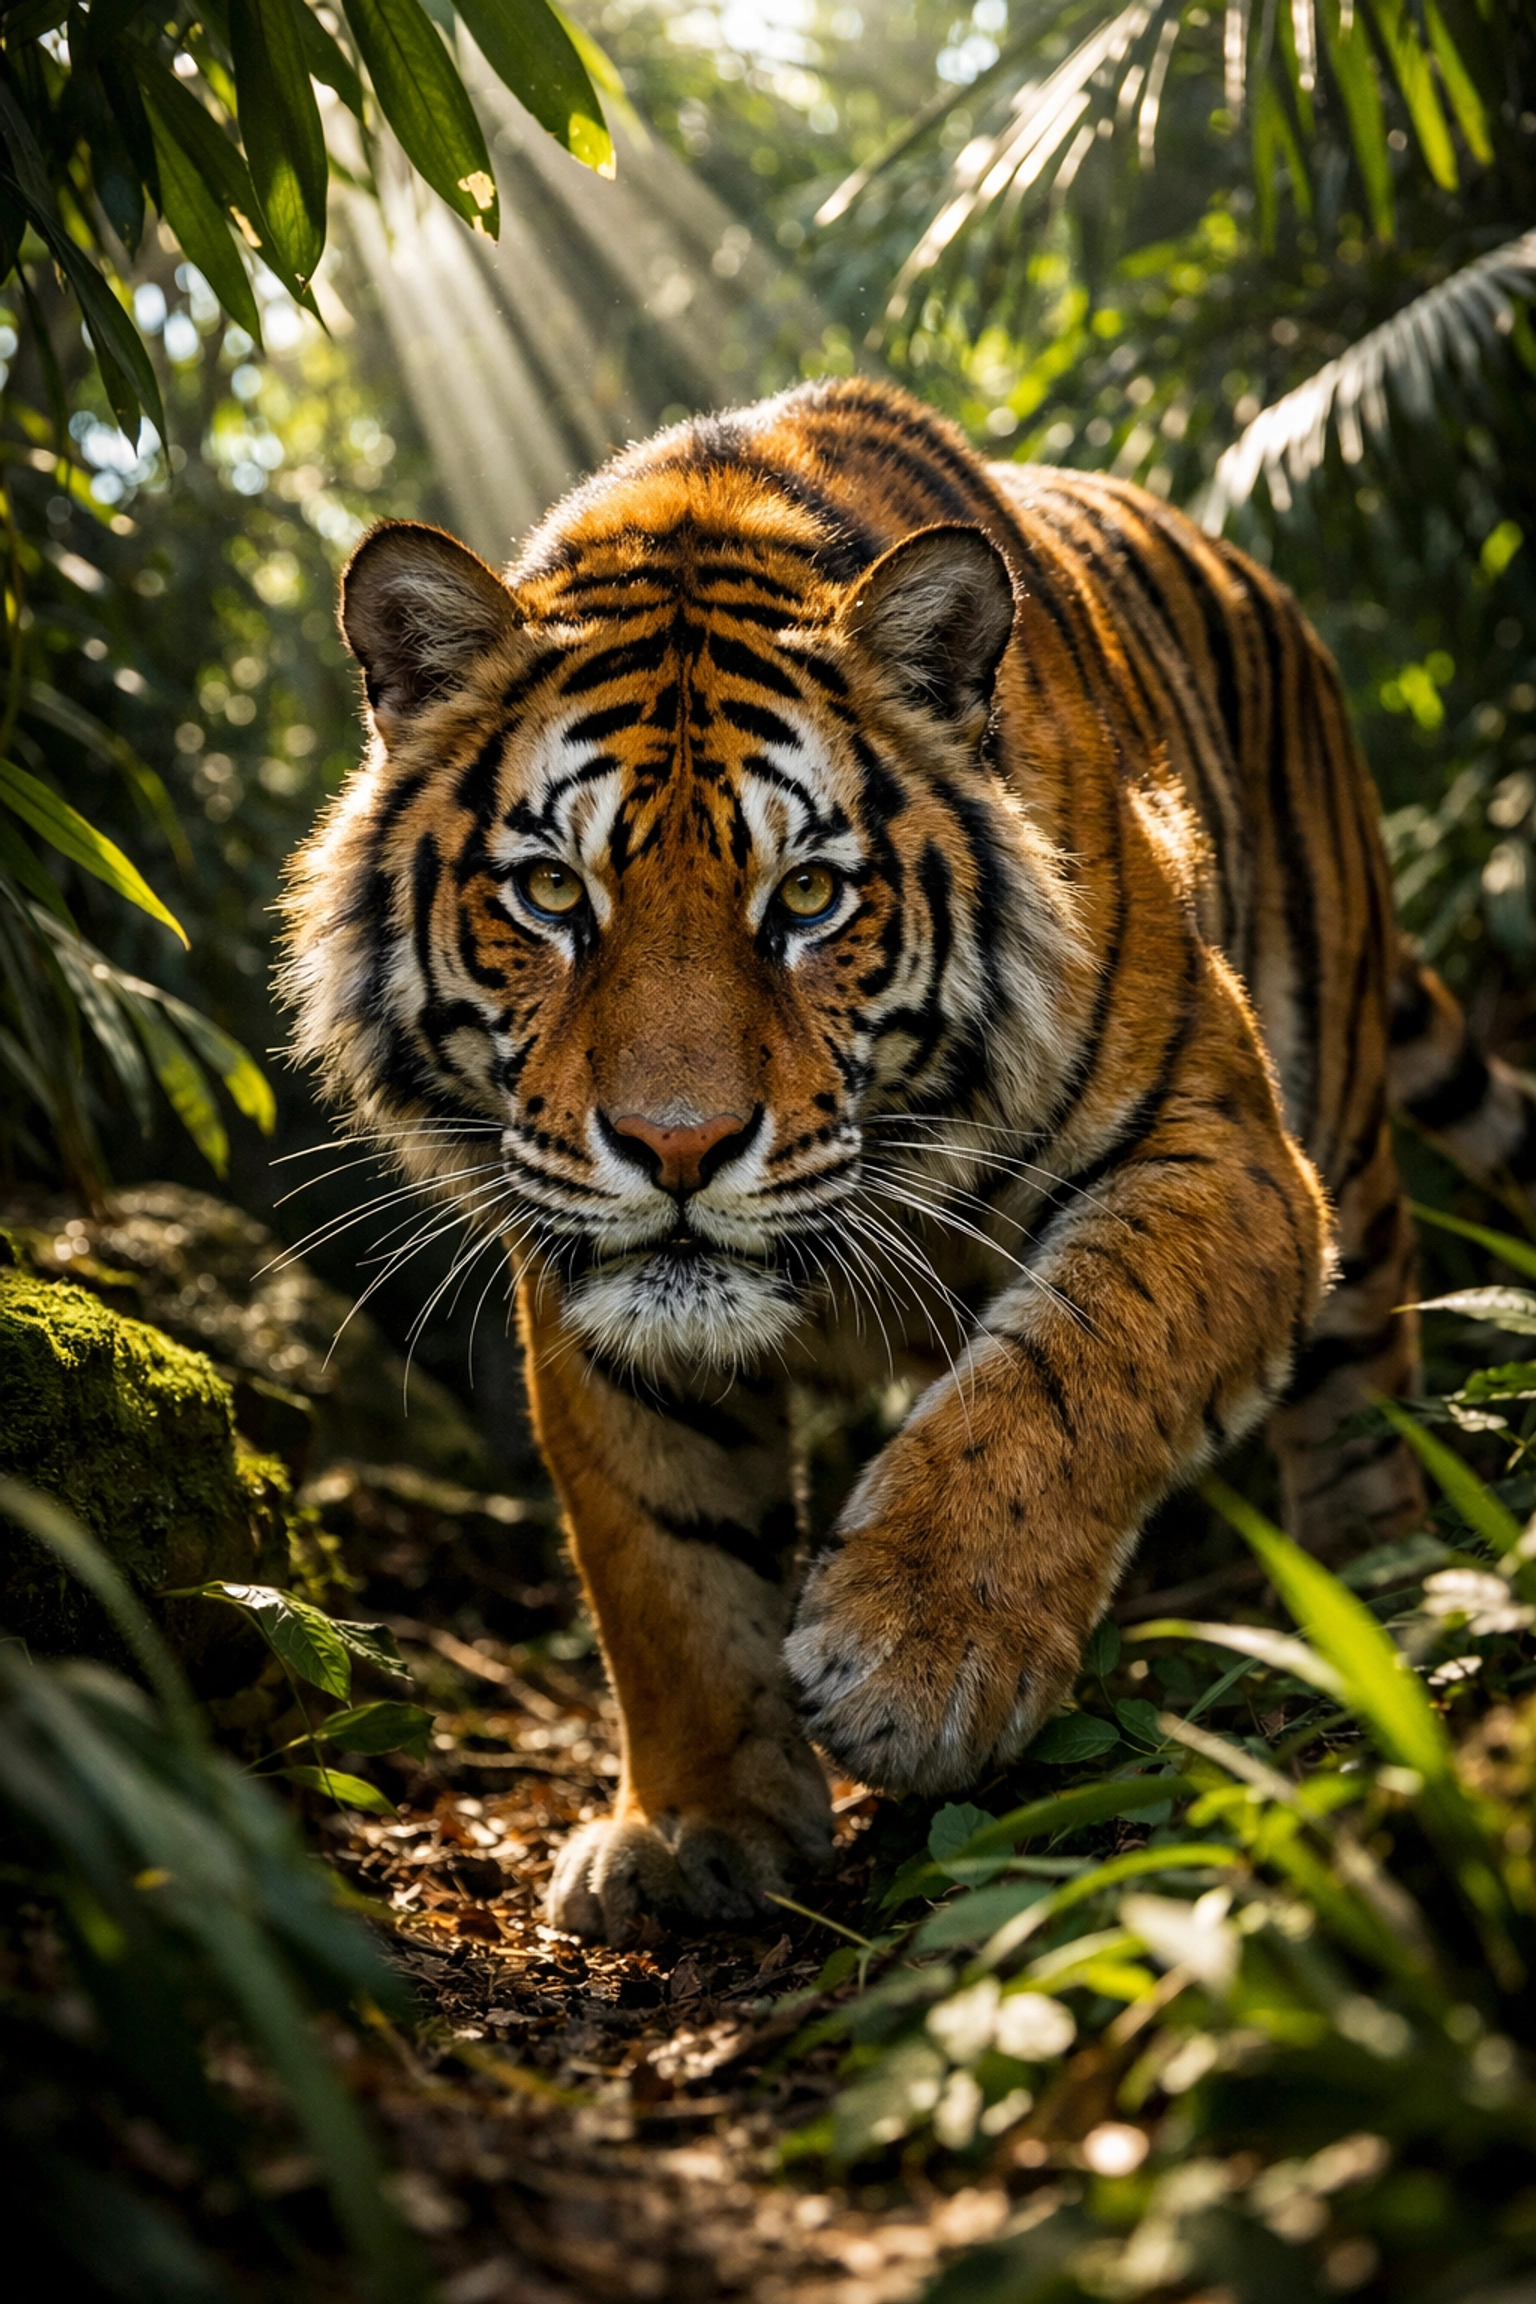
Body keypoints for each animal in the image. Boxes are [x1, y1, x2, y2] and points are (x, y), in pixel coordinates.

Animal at [282, 375, 1535, 1945]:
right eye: (555, 893)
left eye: (810, 894)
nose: (677, 1145)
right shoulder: (588, 1284)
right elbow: (662, 1556)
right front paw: (695, 1822)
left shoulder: (1225, 1154)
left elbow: (1073, 1369)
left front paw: (919, 1655)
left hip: (1347, 1135)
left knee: (1366, 1390)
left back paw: (1387, 1602)